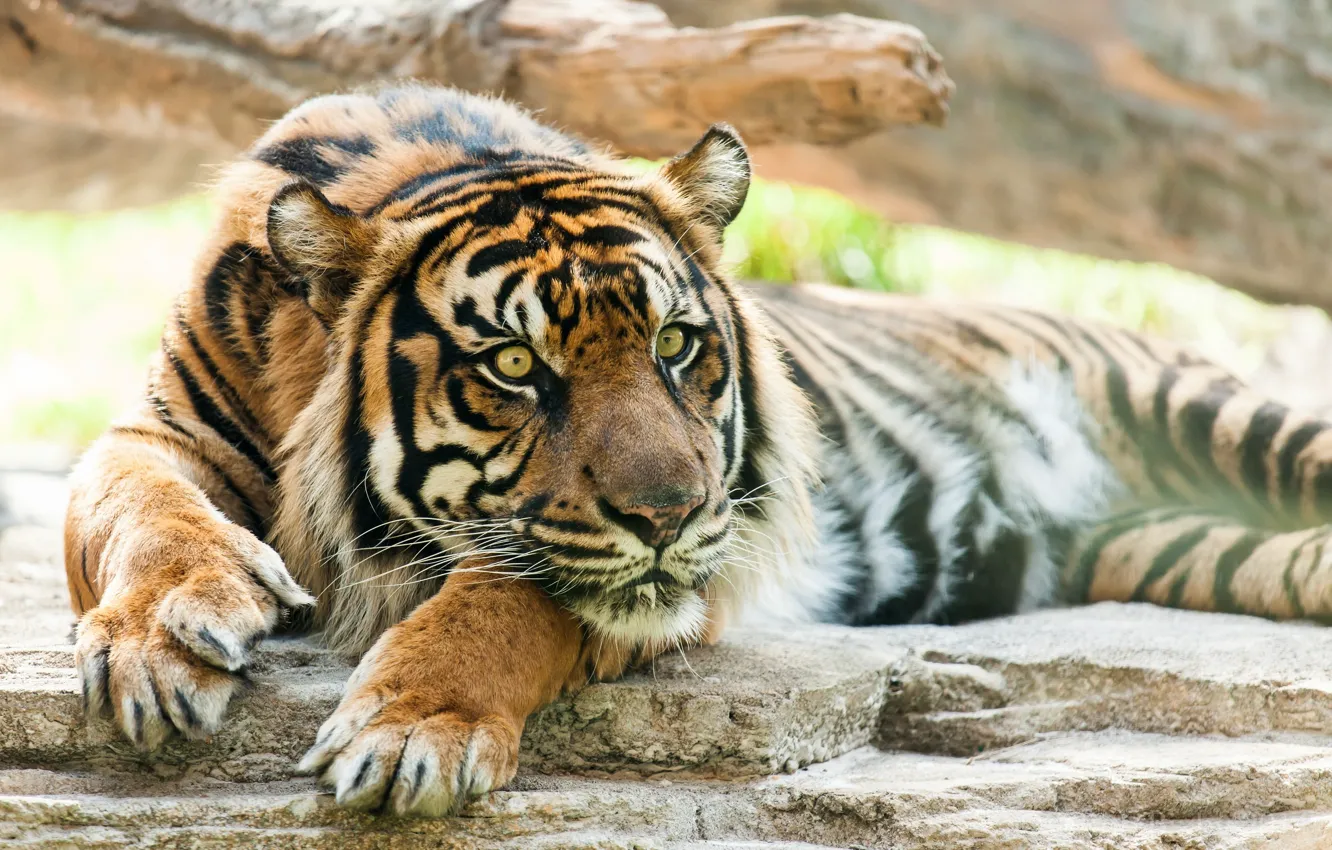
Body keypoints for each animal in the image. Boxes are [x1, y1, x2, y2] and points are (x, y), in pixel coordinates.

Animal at [64, 83, 1332, 818]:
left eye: (677, 345)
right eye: (515, 365)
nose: (668, 513)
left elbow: (514, 595)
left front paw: (412, 726)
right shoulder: (161, 427)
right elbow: (129, 501)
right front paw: (162, 638)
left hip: (1208, 411)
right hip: (1180, 544)